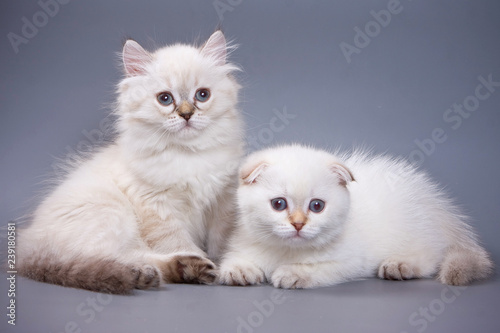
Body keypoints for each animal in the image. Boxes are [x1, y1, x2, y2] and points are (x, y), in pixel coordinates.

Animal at [18, 29, 245, 292]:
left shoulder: (222, 202)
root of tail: (26, 248)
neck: (188, 155)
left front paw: (226, 264)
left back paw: (177, 271)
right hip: (112, 216)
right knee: (107, 258)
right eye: (165, 99)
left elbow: (223, 242)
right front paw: (207, 263)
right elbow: (176, 241)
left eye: (202, 95)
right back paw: (176, 269)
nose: (186, 115)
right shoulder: (157, 206)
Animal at [221, 144, 494, 286]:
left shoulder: (350, 262)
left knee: (431, 256)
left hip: (415, 230)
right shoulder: (244, 242)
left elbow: (317, 268)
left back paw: (400, 265)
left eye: (317, 206)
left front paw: (292, 273)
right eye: (278, 204)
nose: (298, 224)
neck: (285, 251)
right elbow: (236, 259)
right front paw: (239, 270)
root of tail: (439, 206)